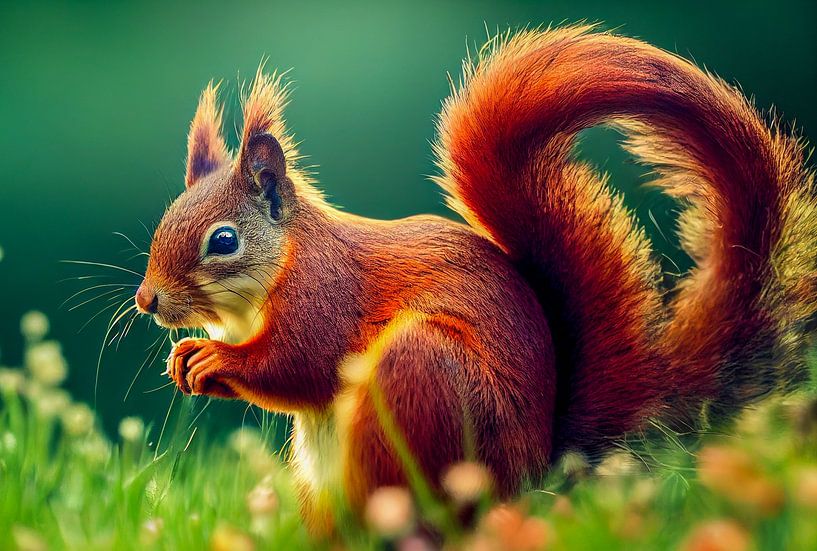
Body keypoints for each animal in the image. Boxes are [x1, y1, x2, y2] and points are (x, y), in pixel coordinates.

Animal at [135, 25, 817, 534]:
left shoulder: (325, 295)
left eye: (223, 241)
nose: (148, 301)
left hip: (423, 377)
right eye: (164, 221)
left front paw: (211, 359)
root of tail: (536, 475)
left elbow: (299, 365)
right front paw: (184, 360)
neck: (277, 271)